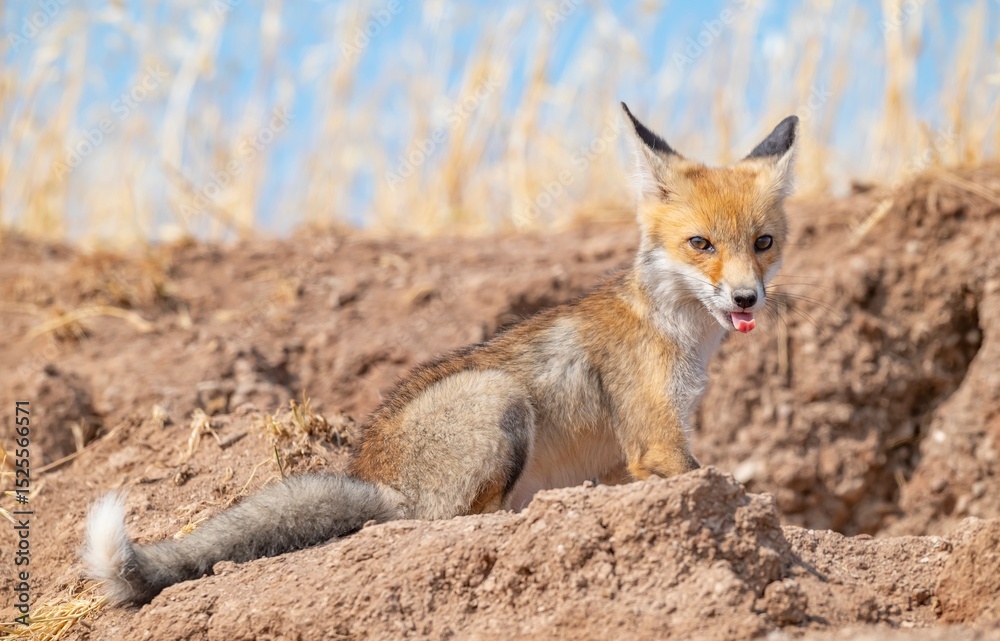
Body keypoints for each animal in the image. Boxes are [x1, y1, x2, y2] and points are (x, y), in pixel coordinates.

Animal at [84, 103, 797, 604]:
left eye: (763, 243)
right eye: (701, 244)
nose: (746, 298)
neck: (674, 329)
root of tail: (376, 476)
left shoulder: (641, 456)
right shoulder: (657, 443)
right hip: (498, 402)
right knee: (448, 522)